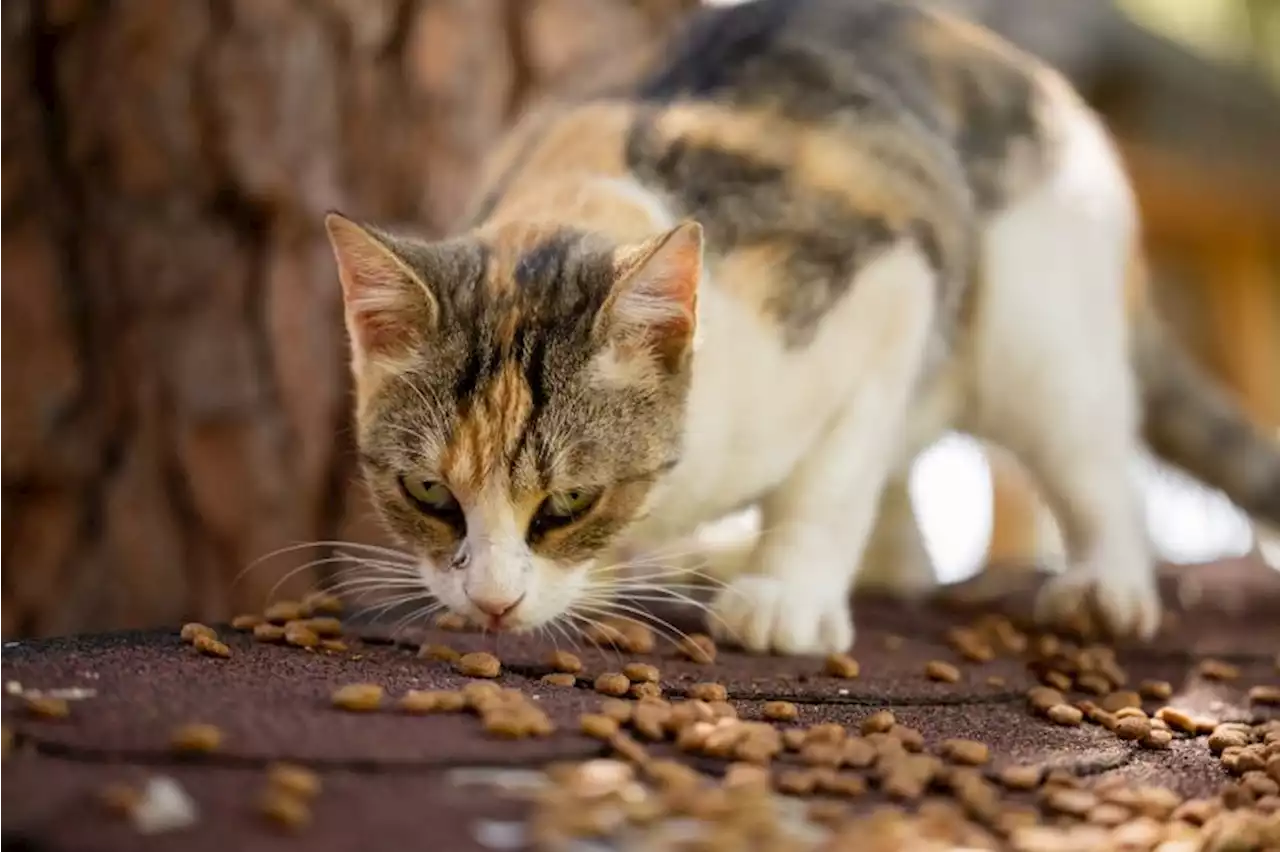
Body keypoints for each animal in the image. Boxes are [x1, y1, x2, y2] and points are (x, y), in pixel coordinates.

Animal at [320, 0, 1280, 652]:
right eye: (429, 493)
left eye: (568, 503)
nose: (490, 601)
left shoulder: (889, 280)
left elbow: (833, 475)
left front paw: (787, 598)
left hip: (1036, 323)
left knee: (1089, 457)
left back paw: (1105, 585)